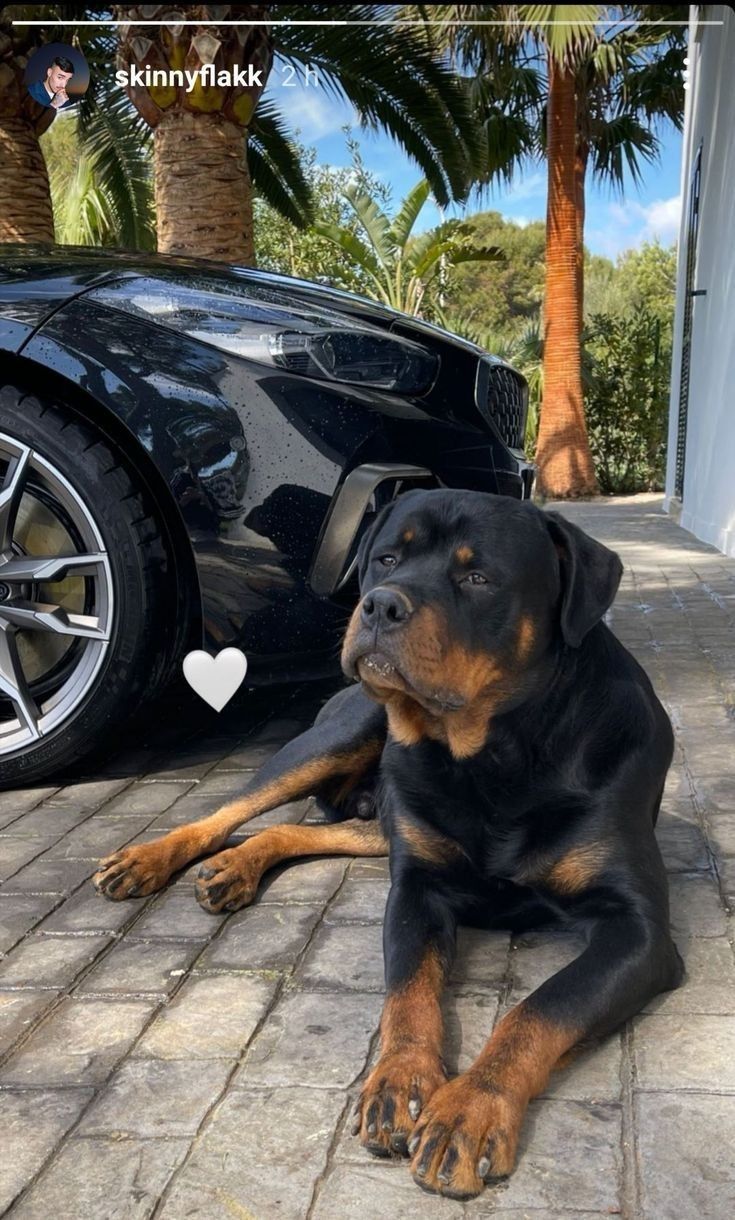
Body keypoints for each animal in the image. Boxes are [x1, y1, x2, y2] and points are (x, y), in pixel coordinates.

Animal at [94, 488, 683, 1200]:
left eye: (478, 577)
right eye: (387, 559)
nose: (380, 604)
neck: (495, 753)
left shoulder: (637, 932)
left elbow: (541, 1009)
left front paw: (468, 1108)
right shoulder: (418, 888)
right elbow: (408, 991)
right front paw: (402, 1082)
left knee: (300, 828)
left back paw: (235, 865)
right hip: (339, 737)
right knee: (235, 805)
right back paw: (150, 858)